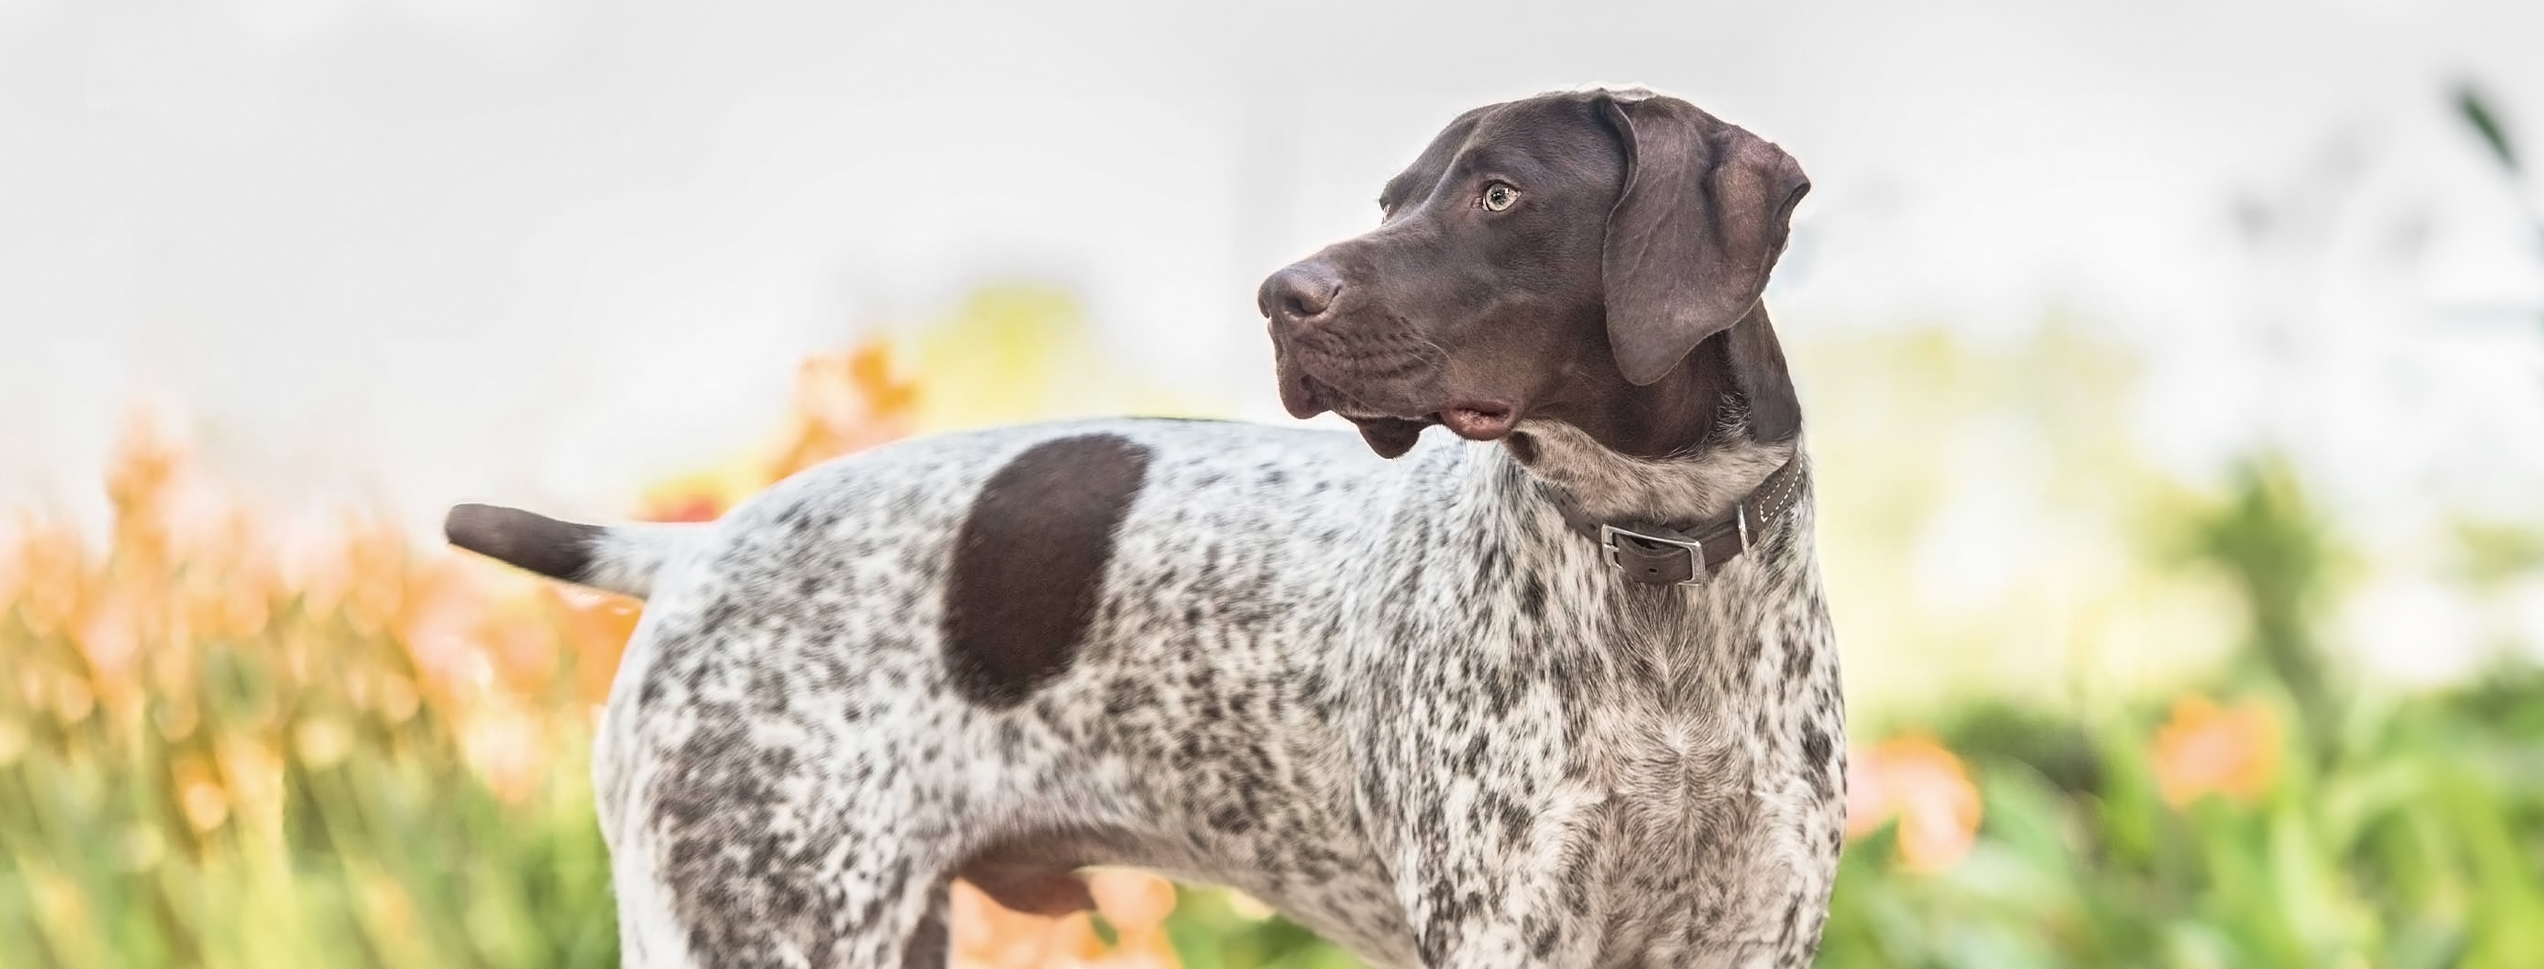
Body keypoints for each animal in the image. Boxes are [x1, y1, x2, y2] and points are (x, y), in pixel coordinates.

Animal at [447, 87, 1841, 961]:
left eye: (1499, 195)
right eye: (1392, 197)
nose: (1282, 297)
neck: (1661, 558)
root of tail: (693, 549)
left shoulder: (1754, 930)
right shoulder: (1506, 926)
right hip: (761, 922)